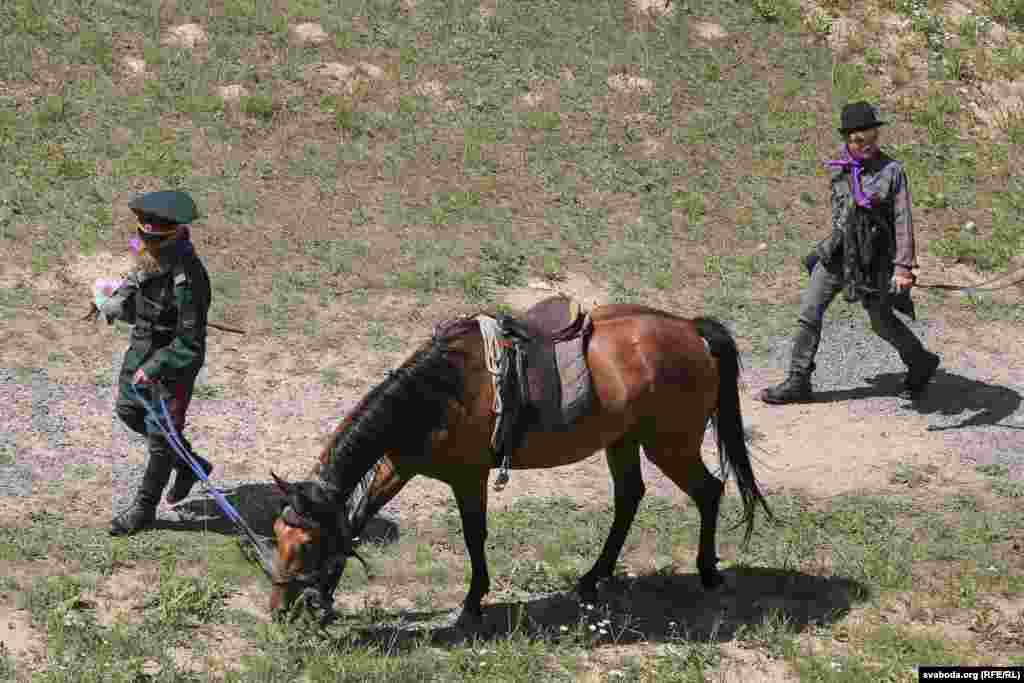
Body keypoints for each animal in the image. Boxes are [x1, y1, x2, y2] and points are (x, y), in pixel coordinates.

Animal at [266, 303, 772, 627]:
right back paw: (593, 578)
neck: (440, 393)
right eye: (277, 534)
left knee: (709, 491)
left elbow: (473, 535)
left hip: (668, 444)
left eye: (306, 545)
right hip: (625, 442)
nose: (278, 608)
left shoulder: (467, 477)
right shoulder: (398, 466)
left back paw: (707, 573)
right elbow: (354, 523)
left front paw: (472, 602)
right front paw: (326, 596)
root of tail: (691, 331)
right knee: (630, 498)